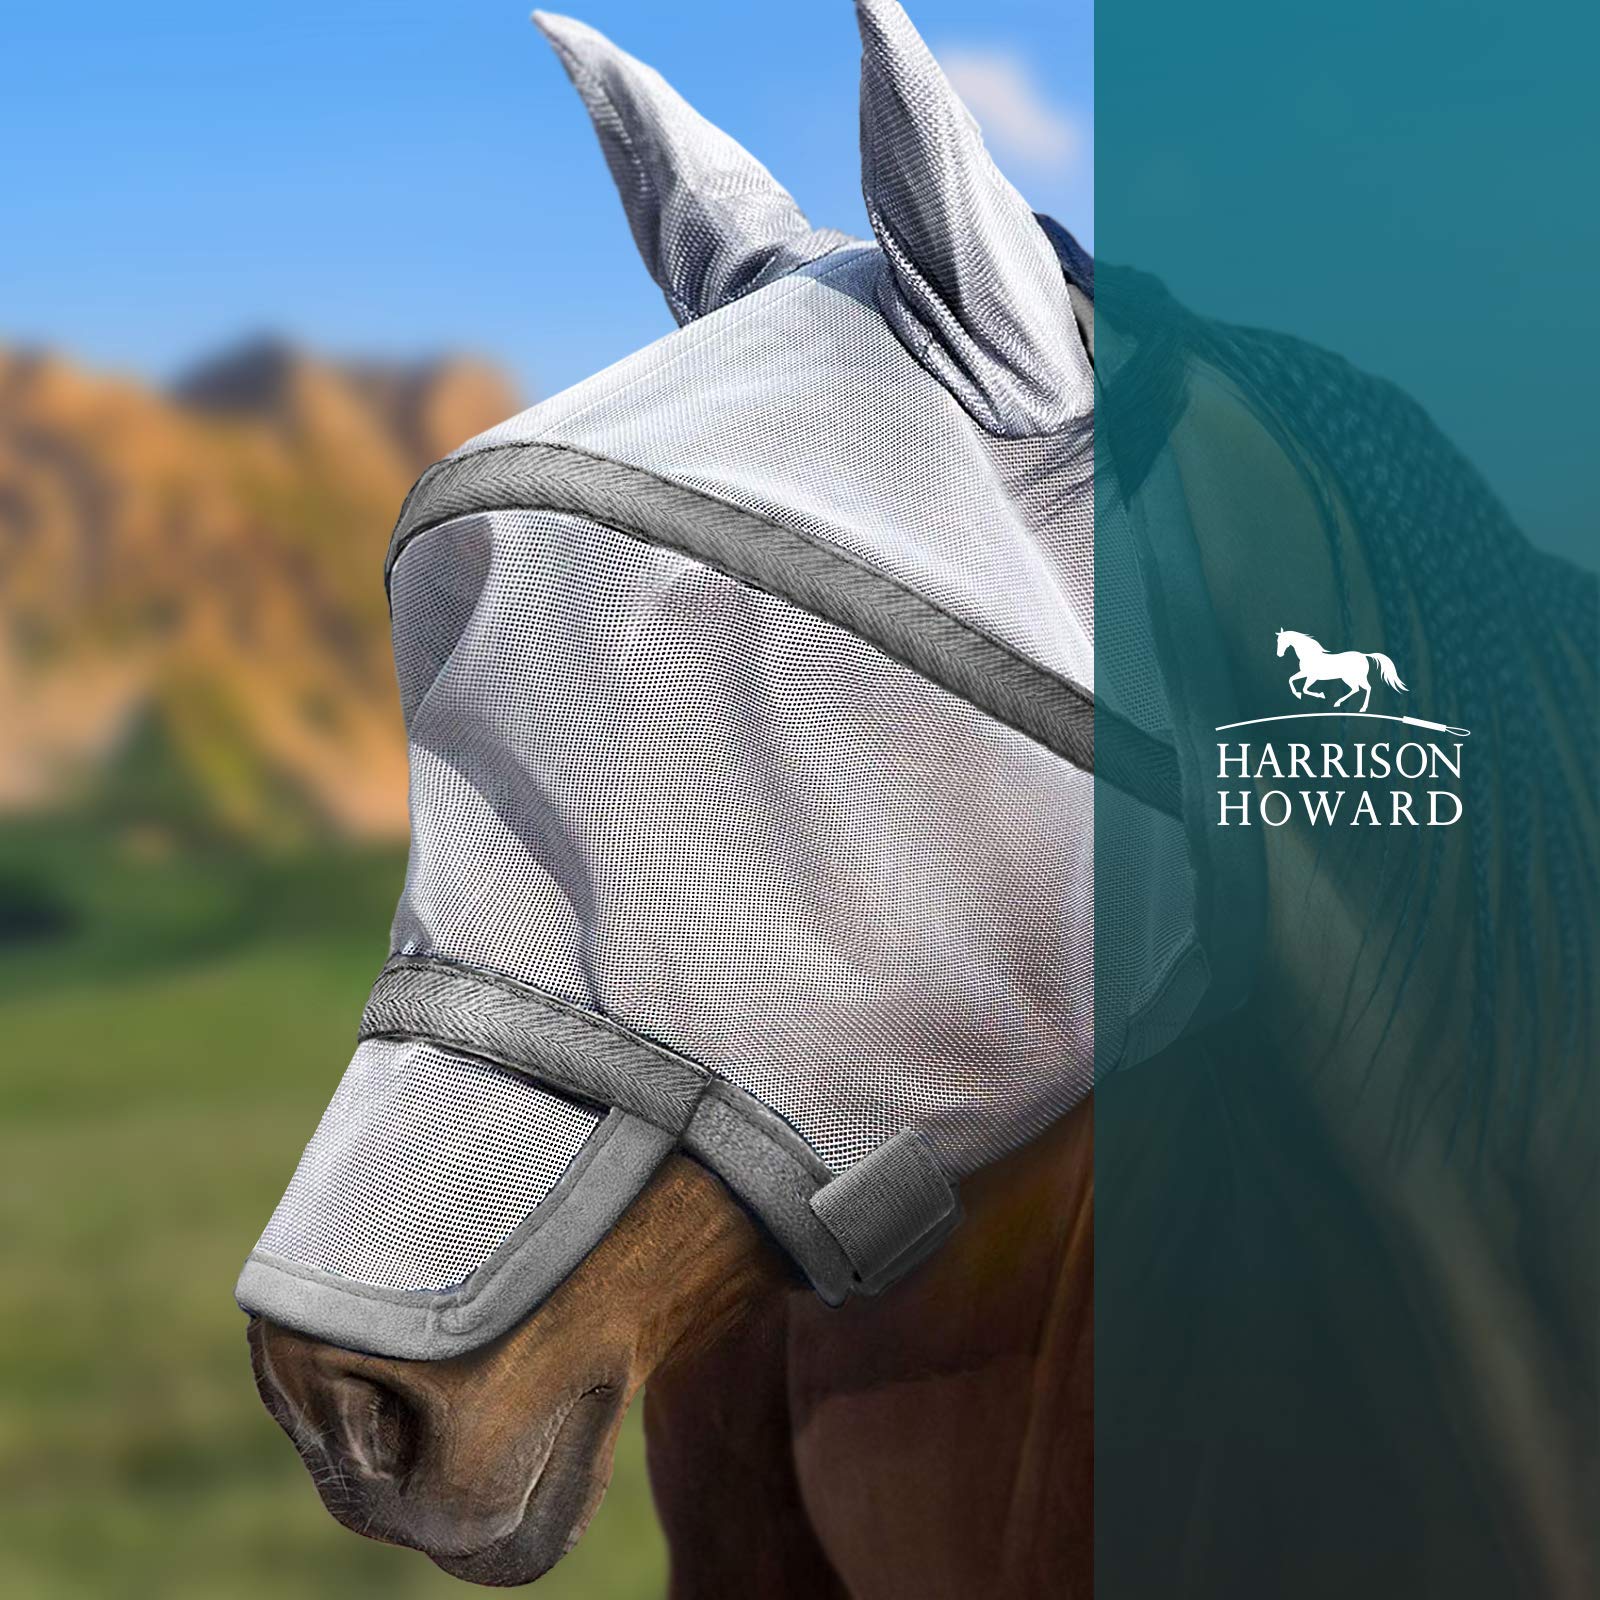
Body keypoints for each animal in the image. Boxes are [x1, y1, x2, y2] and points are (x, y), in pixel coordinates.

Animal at [1275, 627, 1407, 712]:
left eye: (1282, 641)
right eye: (1277, 641)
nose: (1279, 655)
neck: (1310, 655)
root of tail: (1363, 655)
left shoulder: (1312, 676)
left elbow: (1304, 689)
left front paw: (1320, 695)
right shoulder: (1305, 674)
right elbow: (1291, 680)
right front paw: (1298, 695)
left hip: (1352, 678)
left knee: (1362, 688)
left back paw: (1354, 706)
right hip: (1352, 678)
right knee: (1360, 689)